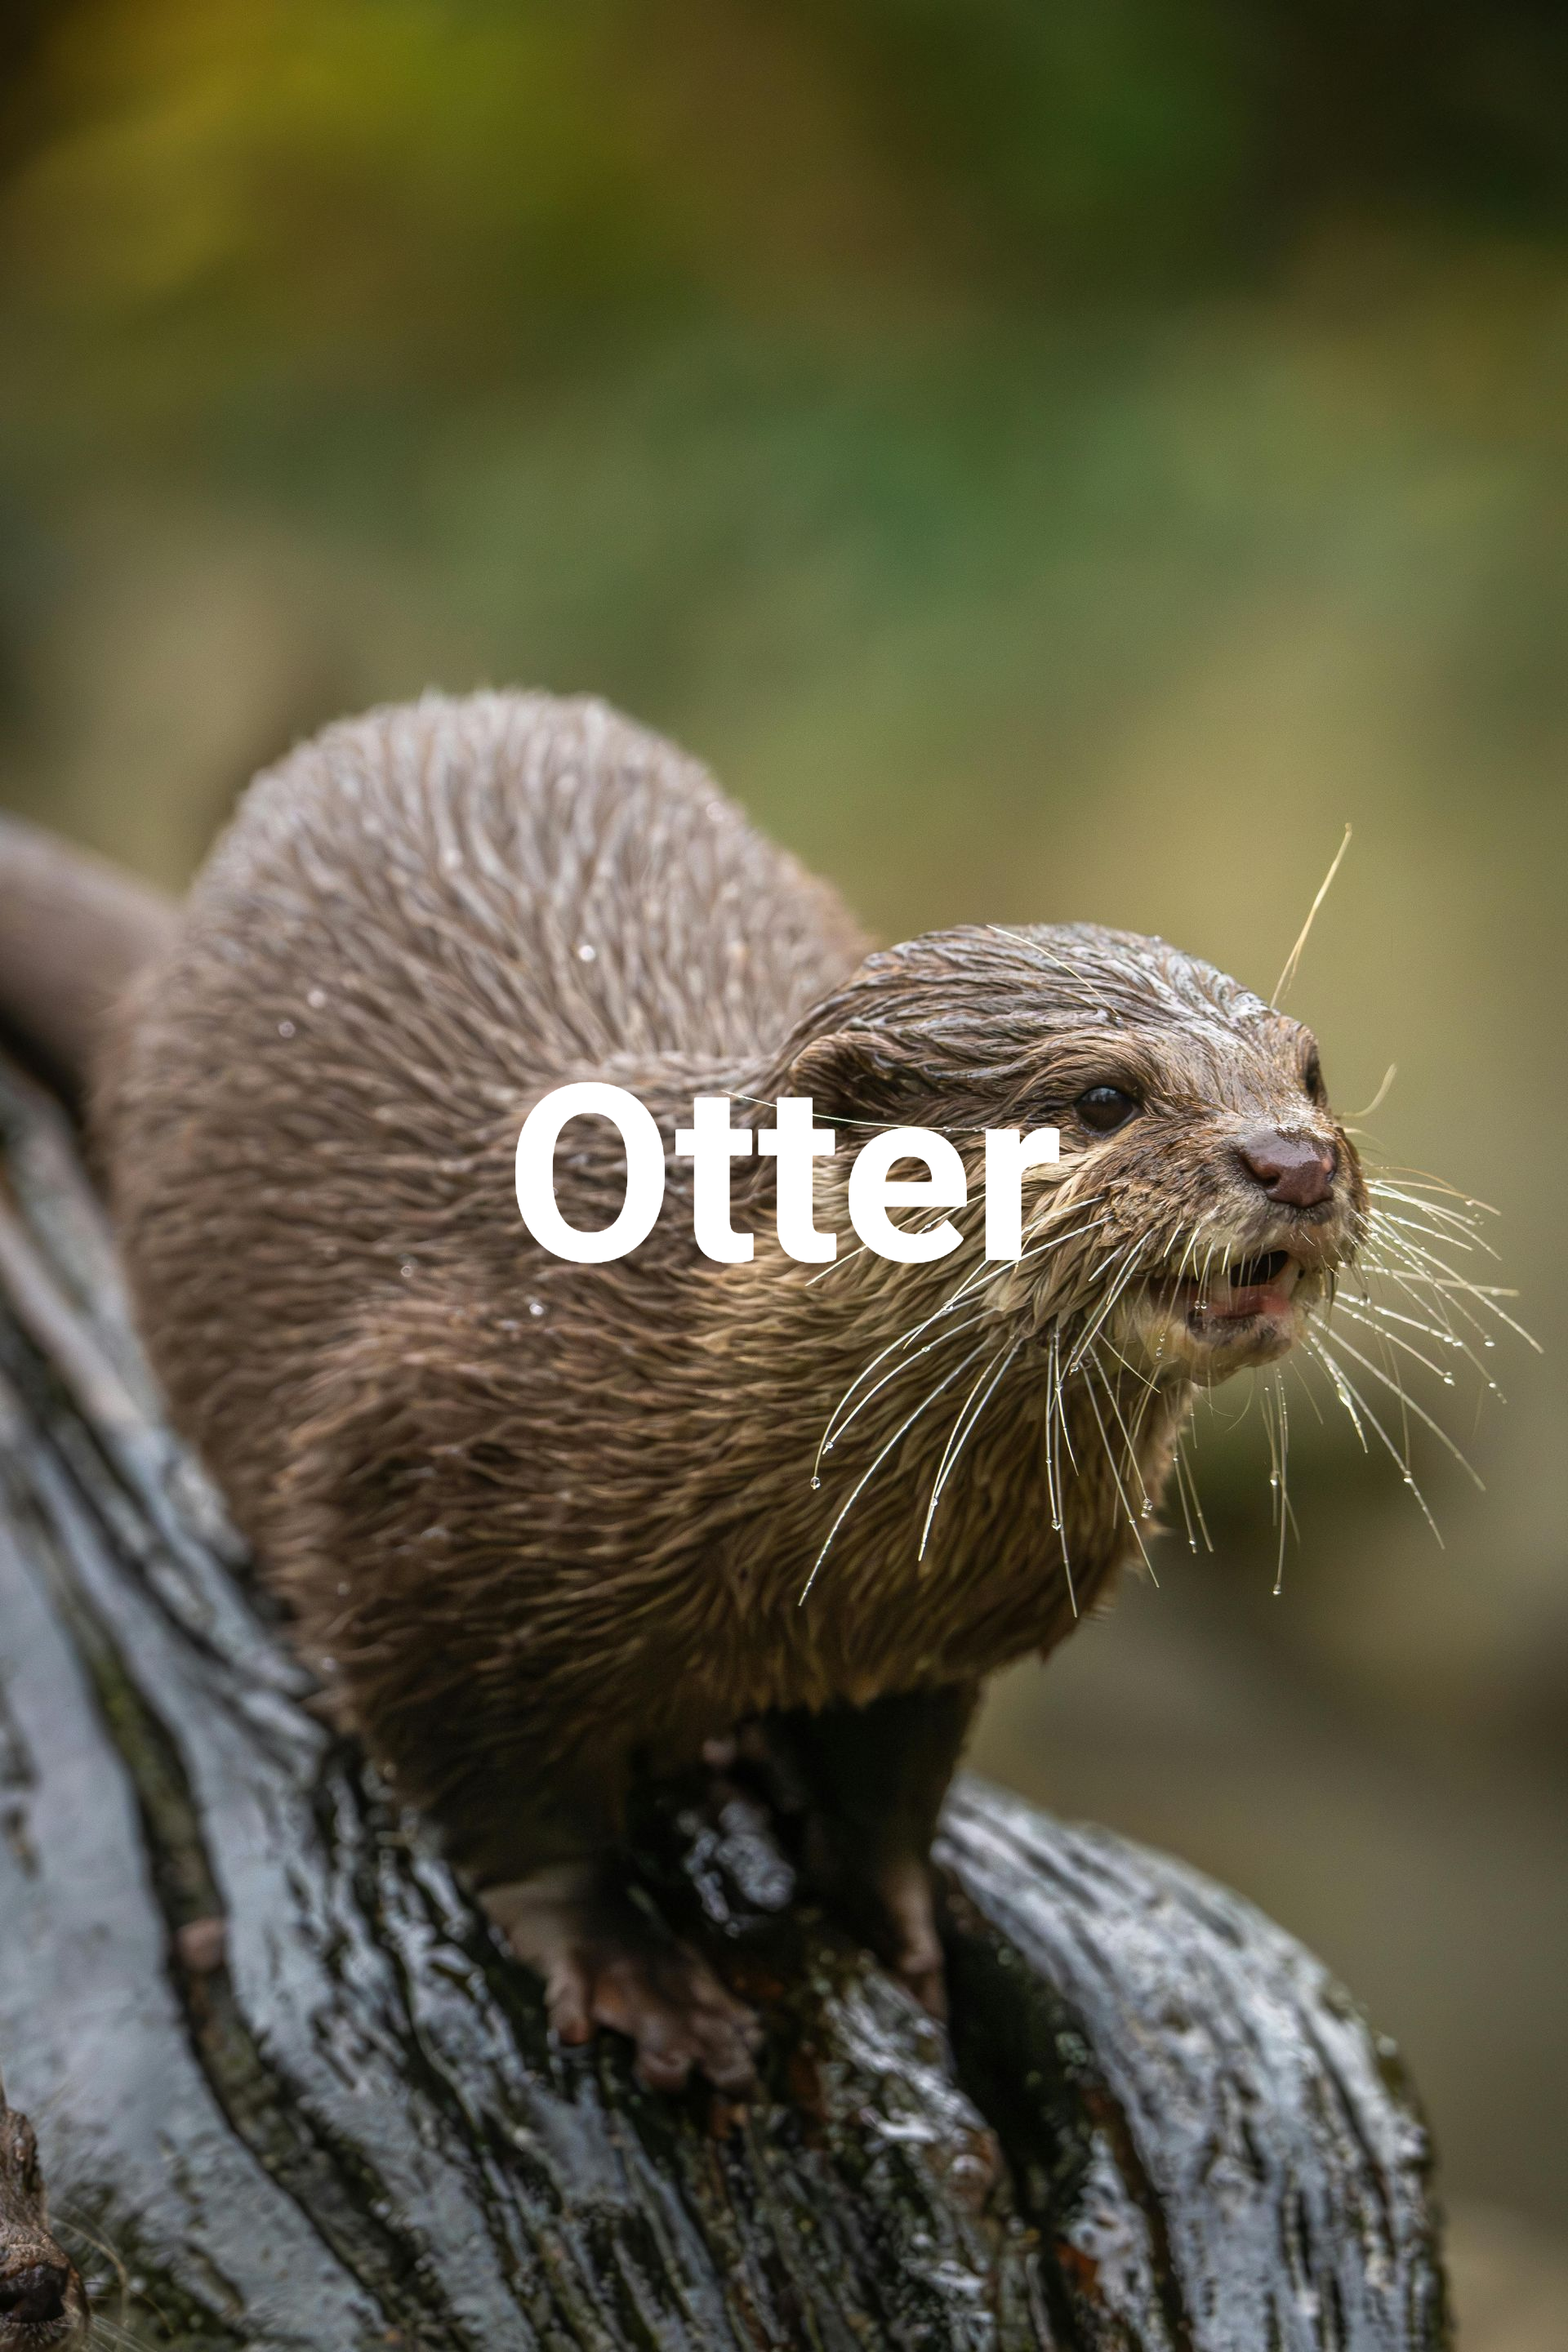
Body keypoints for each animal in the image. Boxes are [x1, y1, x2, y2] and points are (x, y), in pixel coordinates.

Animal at [0, 693, 1365, 2092]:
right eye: (1102, 1097)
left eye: (1310, 1070)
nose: (1296, 1160)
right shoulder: (413, 1504)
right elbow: (506, 1802)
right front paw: (633, 1974)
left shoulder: (953, 1619)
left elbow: (893, 1790)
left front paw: (903, 1937)